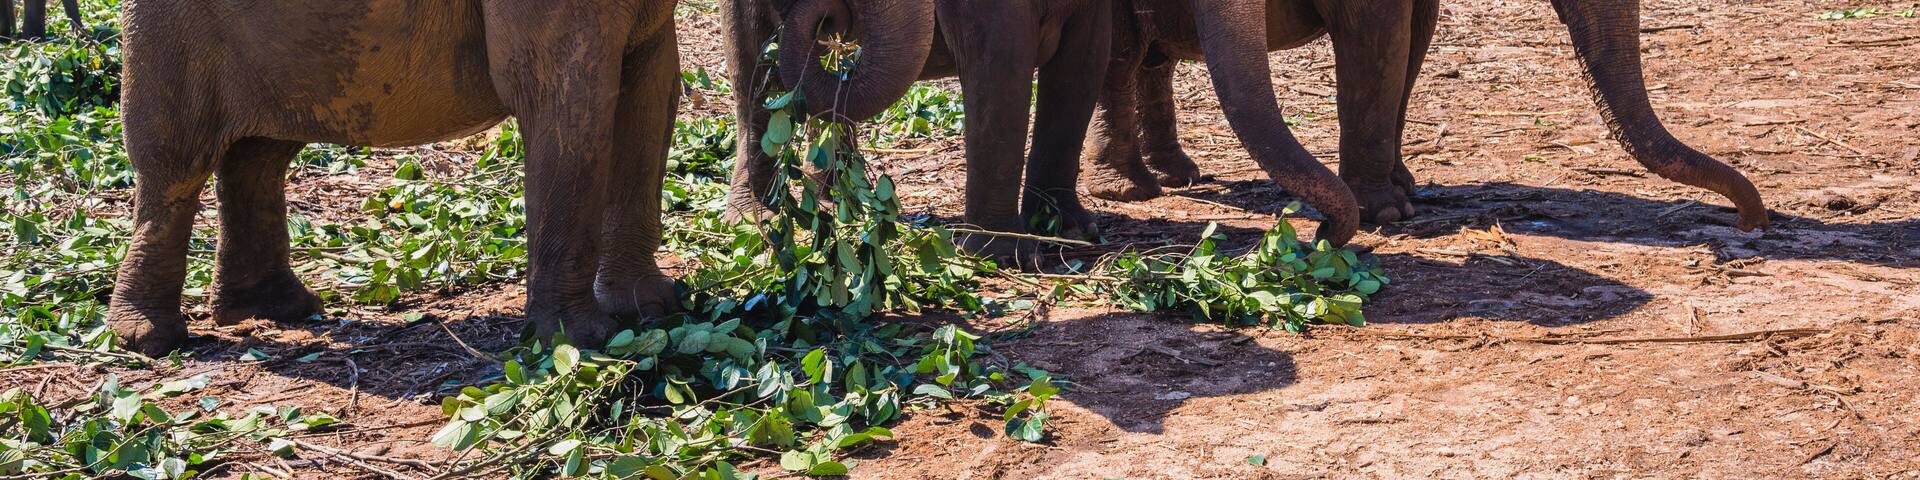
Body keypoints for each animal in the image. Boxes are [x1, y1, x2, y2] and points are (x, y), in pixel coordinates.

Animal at [109, 0, 682, 357]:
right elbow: (565, 98)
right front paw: (582, 343)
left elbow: (654, 90)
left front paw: (651, 309)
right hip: (170, 32)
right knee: (176, 166)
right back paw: (149, 341)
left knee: (258, 154)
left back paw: (279, 308)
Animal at [722, 0, 1112, 266]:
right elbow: (1001, 58)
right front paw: (1003, 256)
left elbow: (1083, 64)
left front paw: (1070, 231)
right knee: (751, 65)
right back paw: (757, 217)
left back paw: (837, 201)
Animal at [1079, 0, 1771, 246]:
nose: (1749, 223)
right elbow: (1377, 35)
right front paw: (1386, 212)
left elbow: (1414, 34)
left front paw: (1404, 191)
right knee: (1123, 51)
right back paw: (1129, 188)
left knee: (1153, 54)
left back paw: (1177, 176)